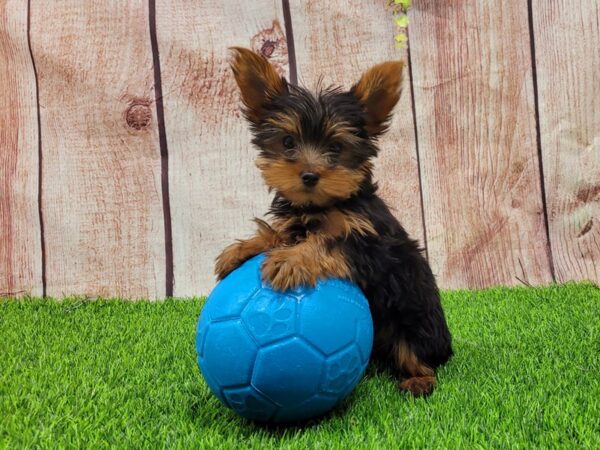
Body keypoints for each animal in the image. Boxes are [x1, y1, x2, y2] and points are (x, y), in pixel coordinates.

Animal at [213, 47, 452, 396]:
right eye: (288, 142)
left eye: (337, 147)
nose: (310, 175)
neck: (323, 205)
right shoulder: (297, 218)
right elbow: (280, 231)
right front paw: (240, 250)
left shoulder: (371, 246)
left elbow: (330, 242)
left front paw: (290, 260)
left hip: (415, 319)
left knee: (417, 352)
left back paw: (419, 379)